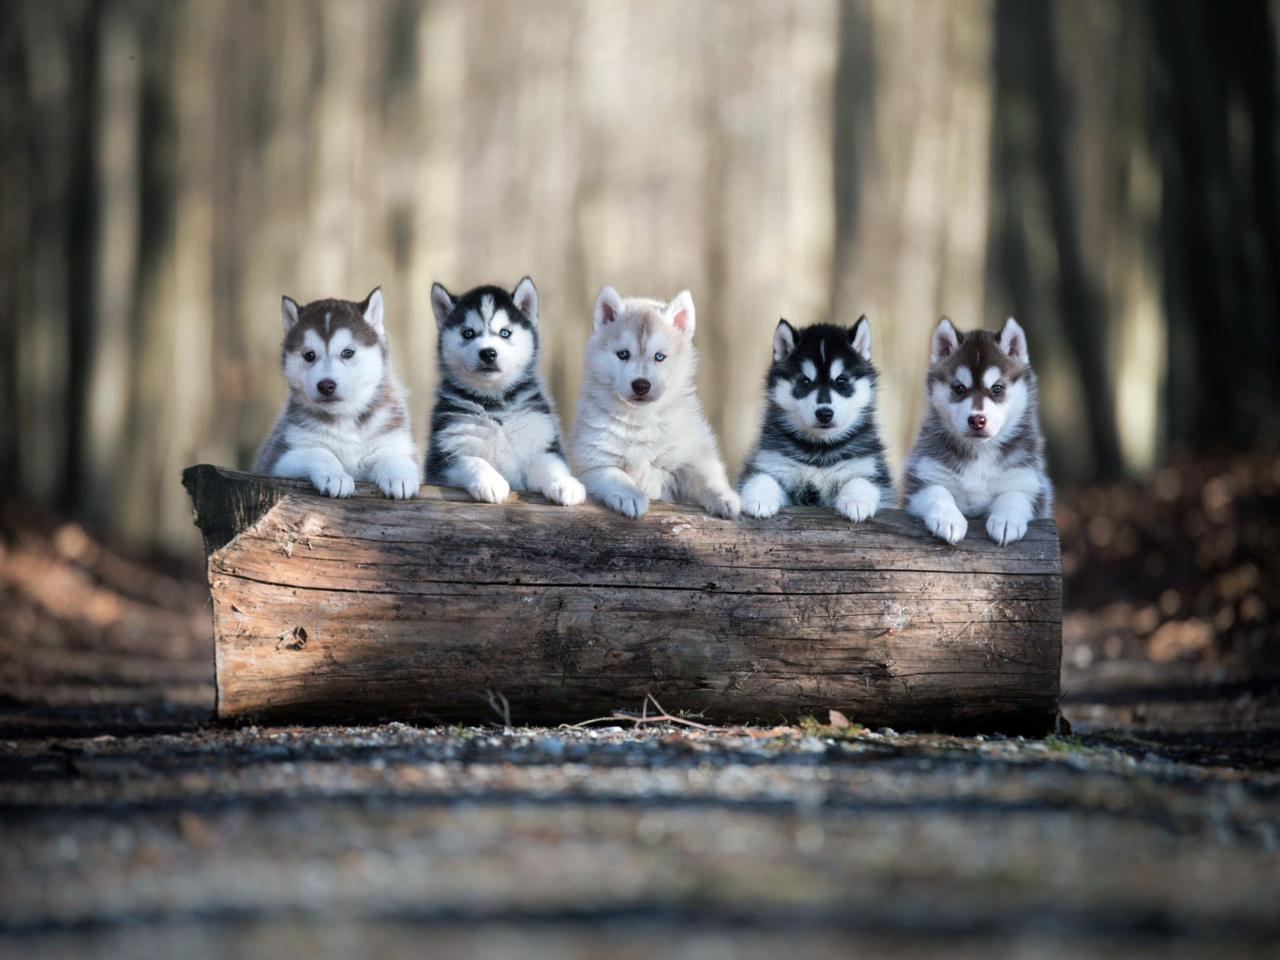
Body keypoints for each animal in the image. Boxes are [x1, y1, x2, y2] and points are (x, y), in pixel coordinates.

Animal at [254, 288, 419, 504]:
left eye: (347, 352)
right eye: (309, 355)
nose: (326, 386)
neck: (345, 418)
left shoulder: (394, 440)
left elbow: (394, 456)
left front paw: (398, 476)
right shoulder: (278, 459)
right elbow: (319, 452)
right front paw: (336, 476)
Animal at [424, 276, 586, 506]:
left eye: (505, 333)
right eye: (468, 333)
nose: (488, 353)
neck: (495, 405)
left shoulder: (542, 443)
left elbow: (550, 464)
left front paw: (565, 483)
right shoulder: (444, 456)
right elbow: (472, 460)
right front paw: (490, 481)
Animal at [570, 288, 742, 519]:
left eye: (659, 356)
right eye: (623, 354)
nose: (641, 385)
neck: (640, 419)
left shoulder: (691, 455)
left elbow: (706, 478)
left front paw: (725, 497)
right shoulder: (592, 463)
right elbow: (615, 475)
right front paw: (630, 495)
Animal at [742, 320, 890, 522]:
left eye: (841, 381)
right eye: (805, 382)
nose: (824, 413)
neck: (820, 449)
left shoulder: (869, 467)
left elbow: (861, 480)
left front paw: (856, 501)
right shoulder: (774, 463)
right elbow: (762, 477)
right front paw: (758, 498)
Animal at [901, 320, 1049, 547]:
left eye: (997, 388)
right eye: (959, 388)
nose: (977, 420)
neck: (981, 451)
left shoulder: (1029, 480)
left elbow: (1014, 495)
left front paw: (1006, 520)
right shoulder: (923, 475)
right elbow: (937, 492)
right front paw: (948, 519)